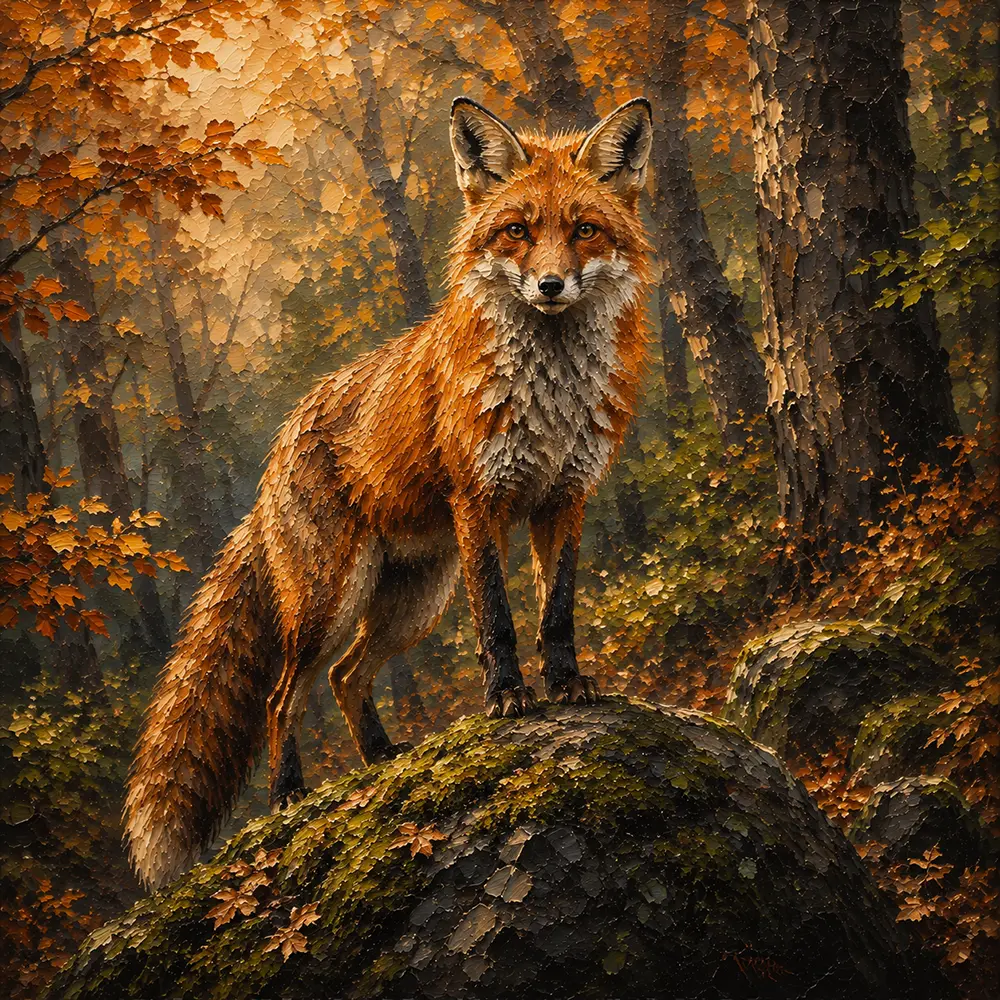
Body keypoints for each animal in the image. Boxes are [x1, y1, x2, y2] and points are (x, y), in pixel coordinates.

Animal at [124, 96, 655, 888]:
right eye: (518, 231)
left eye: (584, 229)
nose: (551, 286)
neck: (552, 393)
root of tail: (276, 456)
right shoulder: (479, 502)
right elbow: (498, 620)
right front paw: (507, 698)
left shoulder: (567, 496)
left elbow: (555, 609)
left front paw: (566, 684)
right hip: (331, 601)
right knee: (283, 697)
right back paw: (290, 798)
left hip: (412, 603)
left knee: (347, 679)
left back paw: (381, 761)